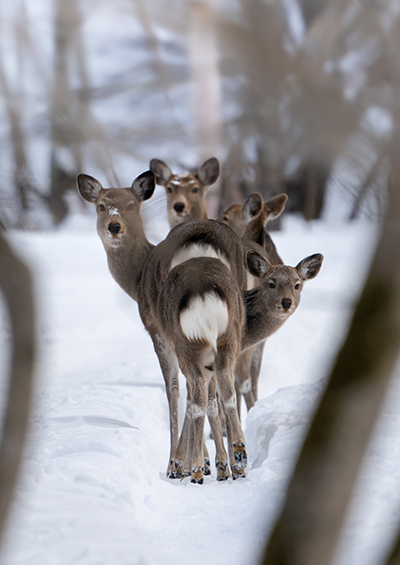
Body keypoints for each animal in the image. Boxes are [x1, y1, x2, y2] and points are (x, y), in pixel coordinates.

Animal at [76, 171, 248, 480]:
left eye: (131, 205)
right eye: (102, 206)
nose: (114, 226)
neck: (138, 279)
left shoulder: (156, 329)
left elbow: (173, 388)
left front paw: (180, 462)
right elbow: (207, 394)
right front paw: (215, 462)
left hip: (181, 331)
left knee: (196, 387)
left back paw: (193, 467)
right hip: (232, 324)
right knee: (223, 385)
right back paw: (238, 458)